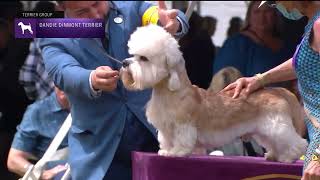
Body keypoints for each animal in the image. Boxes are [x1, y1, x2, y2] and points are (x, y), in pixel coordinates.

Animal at [120, 24, 308, 163]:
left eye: (144, 58)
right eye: (133, 54)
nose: (124, 63)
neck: (170, 92)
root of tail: (277, 91)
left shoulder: (183, 125)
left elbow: (182, 140)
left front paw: (177, 152)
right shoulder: (165, 127)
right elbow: (166, 140)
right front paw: (166, 151)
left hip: (277, 126)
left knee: (297, 143)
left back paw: (289, 157)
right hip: (264, 131)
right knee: (274, 144)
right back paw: (274, 155)